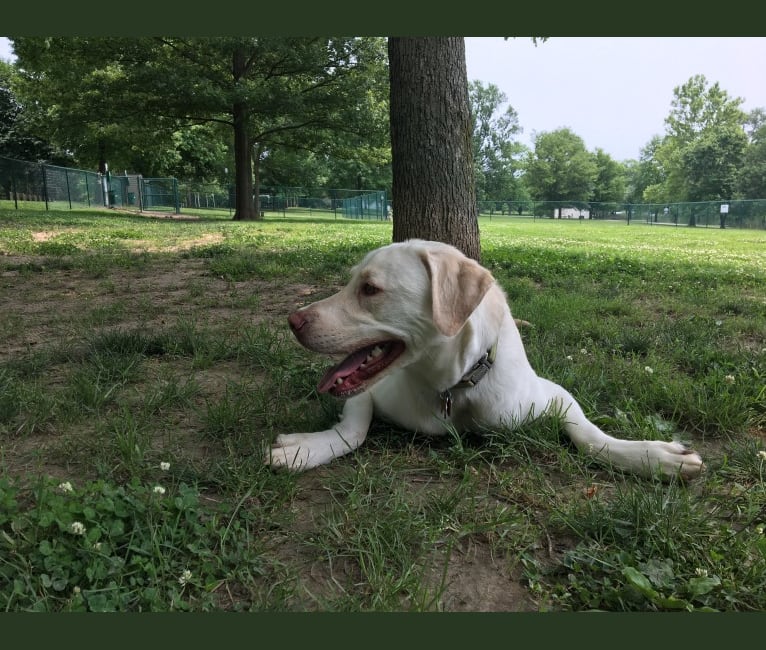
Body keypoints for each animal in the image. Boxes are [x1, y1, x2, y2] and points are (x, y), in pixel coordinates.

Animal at [268, 238, 704, 476]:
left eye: (370, 289)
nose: (293, 321)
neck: (453, 384)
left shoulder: (553, 396)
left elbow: (591, 435)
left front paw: (651, 456)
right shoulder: (371, 393)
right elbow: (353, 431)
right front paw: (305, 449)